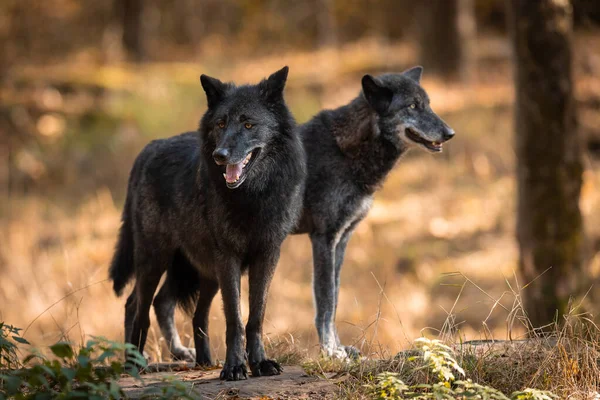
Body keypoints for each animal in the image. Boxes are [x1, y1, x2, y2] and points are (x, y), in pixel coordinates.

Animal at [108, 67, 308, 380]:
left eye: (249, 124)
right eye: (220, 124)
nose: (220, 155)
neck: (252, 197)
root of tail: (148, 149)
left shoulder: (267, 255)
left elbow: (255, 316)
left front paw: (259, 363)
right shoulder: (228, 258)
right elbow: (235, 320)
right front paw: (235, 367)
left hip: (203, 272)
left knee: (178, 308)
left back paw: (202, 360)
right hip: (156, 259)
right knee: (137, 306)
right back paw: (134, 364)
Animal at [151, 65, 454, 360]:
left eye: (428, 105)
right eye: (412, 106)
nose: (449, 133)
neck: (345, 151)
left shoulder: (341, 240)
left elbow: (335, 297)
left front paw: (339, 347)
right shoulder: (323, 238)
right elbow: (325, 300)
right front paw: (331, 351)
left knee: (161, 300)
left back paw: (180, 352)